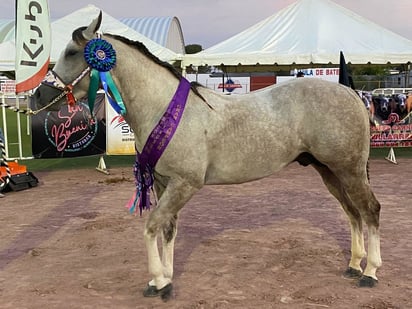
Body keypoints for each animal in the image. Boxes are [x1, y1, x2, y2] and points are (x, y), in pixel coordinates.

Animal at [33, 13, 384, 300]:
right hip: (329, 171)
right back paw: (354, 264)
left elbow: (151, 225)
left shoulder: (184, 184)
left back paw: (370, 272)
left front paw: (157, 281)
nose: (39, 95)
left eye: (72, 52)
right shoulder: (164, 183)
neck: (165, 108)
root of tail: (351, 93)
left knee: (369, 211)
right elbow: (168, 229)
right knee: (352, 213)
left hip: (349, 170)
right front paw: (166, 279)